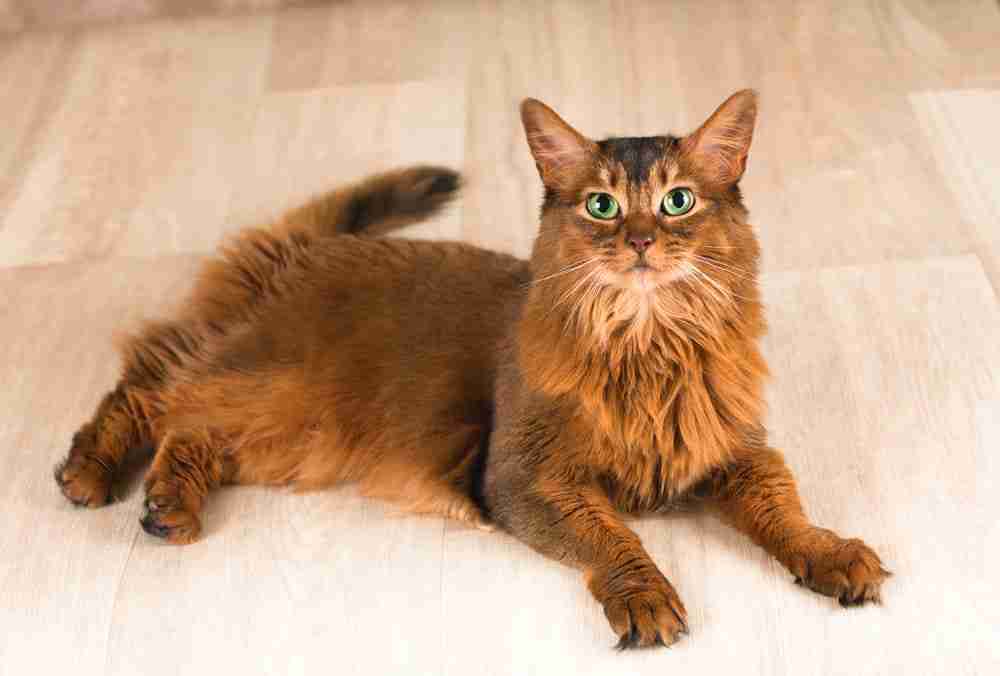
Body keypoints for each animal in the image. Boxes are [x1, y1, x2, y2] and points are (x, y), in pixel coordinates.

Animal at [54, 90, 888, 648]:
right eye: (602, 206)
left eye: (678, 201)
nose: (642, 242)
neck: (647, 348)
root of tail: (304, 249)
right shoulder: (524, 476)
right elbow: (615, 536)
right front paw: (645, 597)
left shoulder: (737, 453)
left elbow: (787, 513)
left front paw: (829, 555)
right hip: (281, 388)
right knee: (152, 389)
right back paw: (92, 475)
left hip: (290, 434)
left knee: (192, 428)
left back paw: (166, 506)